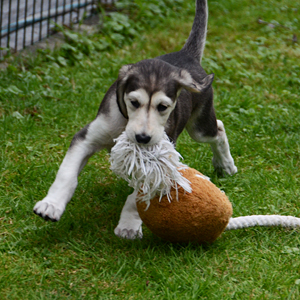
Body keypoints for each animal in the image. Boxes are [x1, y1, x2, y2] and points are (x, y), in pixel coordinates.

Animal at [34, 0, 238, 239]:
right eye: (133, 102)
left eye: (162, 107)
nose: (142, 138)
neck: (125, 123)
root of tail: (186, 56)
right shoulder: (86, 137)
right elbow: (66, 173)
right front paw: (51, 205)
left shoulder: (157, 159)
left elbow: (137, 197)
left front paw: (129, 224)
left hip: (199, 127)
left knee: (218, 129)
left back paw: (226, 164)